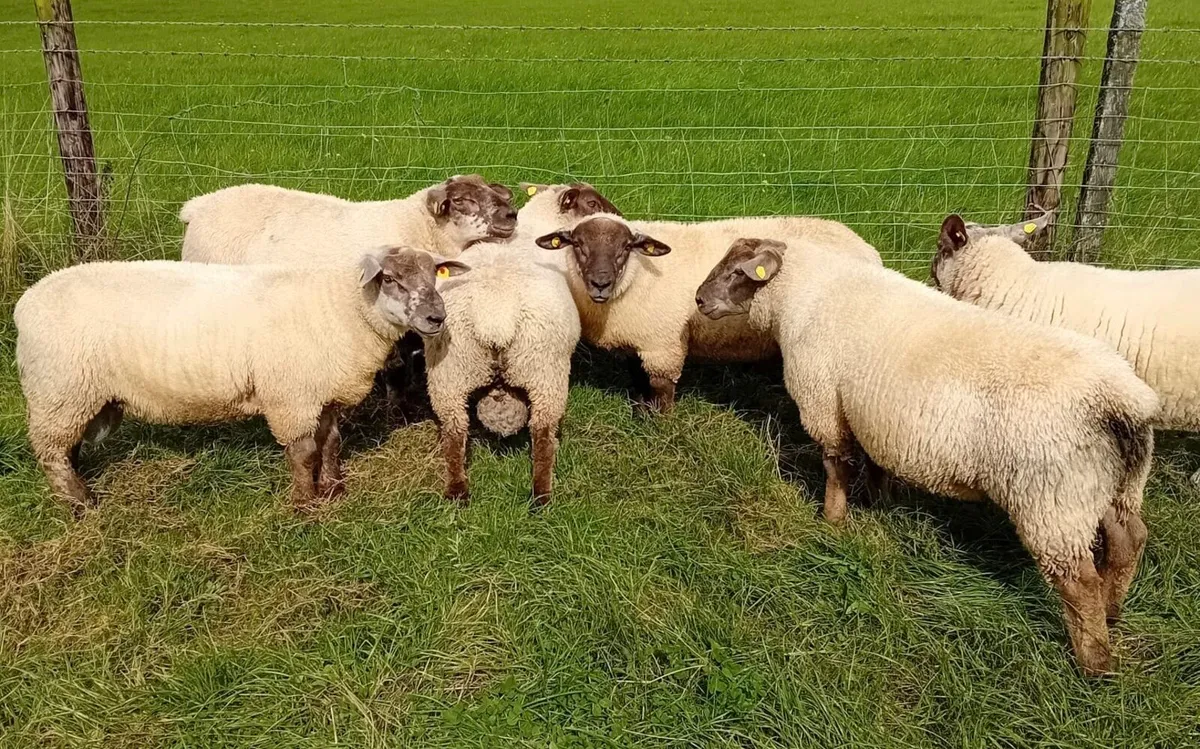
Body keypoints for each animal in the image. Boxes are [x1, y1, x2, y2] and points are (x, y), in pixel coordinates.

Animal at [14, 248, 468, 514]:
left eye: (435, 275)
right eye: (390, 279)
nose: (436, 318)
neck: (341, 307)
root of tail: (25, 303)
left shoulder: (320, 392)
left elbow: (332, 443)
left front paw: (333, 488)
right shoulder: (290, 397)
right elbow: (304, 453)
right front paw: (304, 505)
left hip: (69, 397)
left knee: (65, 449)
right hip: (60, 391)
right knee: (52, 454)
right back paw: (81, 503)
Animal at [424, 242, 581, 505]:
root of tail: (494, 315)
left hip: (448, 371)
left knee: (454, 430)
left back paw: (457, 492)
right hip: (546, 371)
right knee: (542, 432)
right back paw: (542, 495)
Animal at [535, 213, 881, 412]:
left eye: (625, 247)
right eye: (578, 244)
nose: (600, 283)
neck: (636, 276)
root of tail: (868, 249)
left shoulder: (664, 346)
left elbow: (662, 392)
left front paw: (659, 429)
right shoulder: (640, 341)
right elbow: (638, 379)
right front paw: (641, 409)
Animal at [695, 236, 1159, 676]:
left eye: (737, 272)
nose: (698, 300)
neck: (804, 295)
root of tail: (1121, 400)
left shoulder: (823, 403)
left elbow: (836, 465)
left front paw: (833, 521)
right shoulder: (874, 417)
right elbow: (873, 464)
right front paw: (877, 503)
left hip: (1052, 500)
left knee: (1079, 583)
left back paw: (1093, 664)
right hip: (1109, 486)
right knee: (1128, 541)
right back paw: (1113, 612)